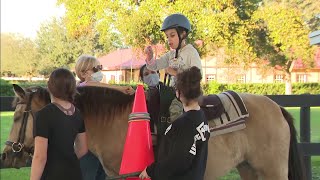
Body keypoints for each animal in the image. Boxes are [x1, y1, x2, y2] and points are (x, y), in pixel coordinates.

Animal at [0, 84, 304, 180]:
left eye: (17, 116)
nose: (5, 156)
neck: (115, 121)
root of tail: (277, 107)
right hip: (249, 169)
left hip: (272, 170)